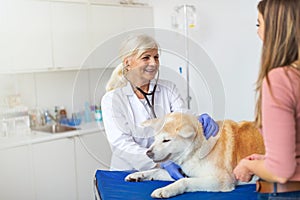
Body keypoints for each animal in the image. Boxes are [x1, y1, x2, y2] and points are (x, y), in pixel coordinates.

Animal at [124, 112, 264, 198]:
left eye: (166, 140)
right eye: (155, 138)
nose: (148, 153)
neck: (197, 149)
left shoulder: (222, 180)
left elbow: (183, 181)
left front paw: (166, 190)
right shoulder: (185, 172)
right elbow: (157, 171)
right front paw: (138, 175)